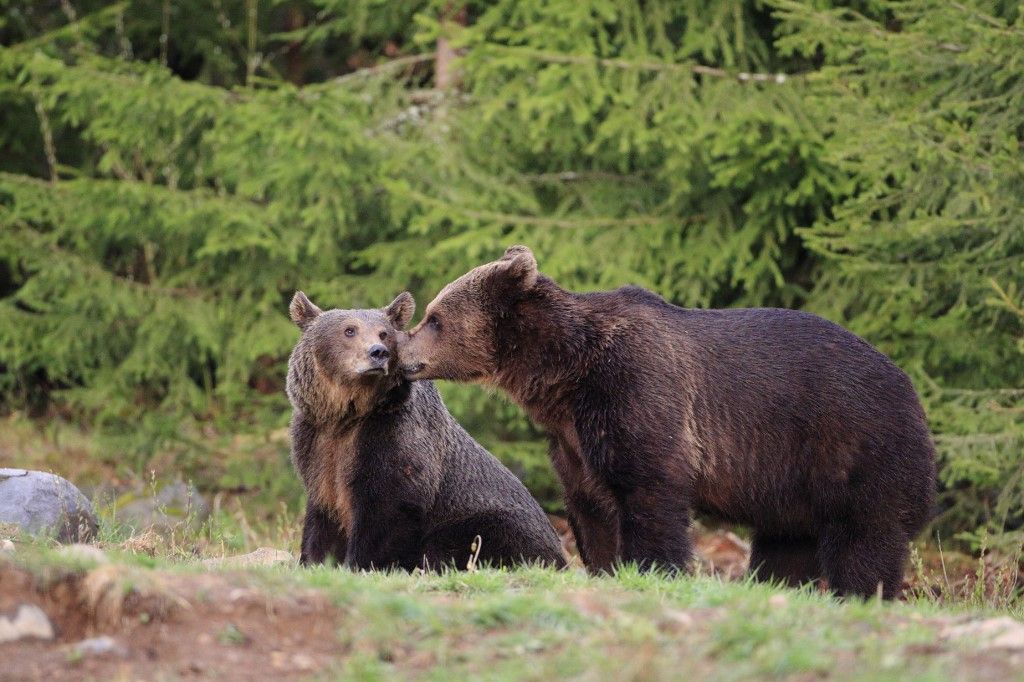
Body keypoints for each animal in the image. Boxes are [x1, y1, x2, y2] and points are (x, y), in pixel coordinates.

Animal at [284, 288, 565, 569]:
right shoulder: (316, 442)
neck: (348, 414)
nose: (378, 352)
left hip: (490, 523)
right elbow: (323, 512)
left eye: (383, 333)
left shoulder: (390, 434)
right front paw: (314, 559)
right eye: (349, 330)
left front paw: (359, 562)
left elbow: (388, 505)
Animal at [397, 244, 937, 593]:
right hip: (793, 483)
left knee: (865, 536)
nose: (398, 352)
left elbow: (649, 490)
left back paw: (862, 591)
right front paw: (605, 567)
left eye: (434, 318)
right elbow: (592, 507)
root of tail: (911, 390)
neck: (565, 374)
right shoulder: (574, 439)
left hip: (855, 445)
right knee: (787, 541)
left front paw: (653, 569)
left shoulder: (637, 391)